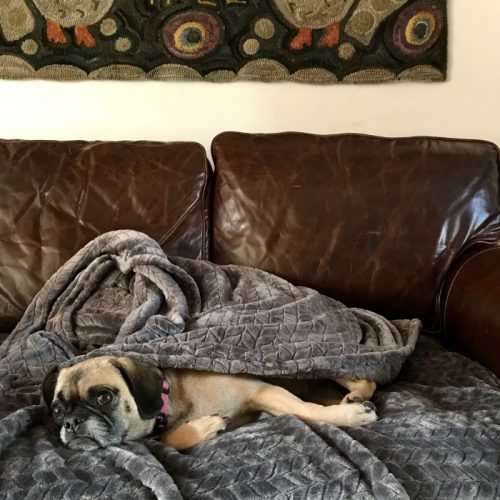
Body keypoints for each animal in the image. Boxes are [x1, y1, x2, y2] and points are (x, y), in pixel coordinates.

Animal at [41, 356, 377, 451]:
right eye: (57, 411)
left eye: (104, 397)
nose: (71, 422)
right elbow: (169, 439)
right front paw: (204, 427)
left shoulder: (263, 390)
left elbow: (304, 410)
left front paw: (350, 416)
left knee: (363, 377)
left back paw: (355, 396)